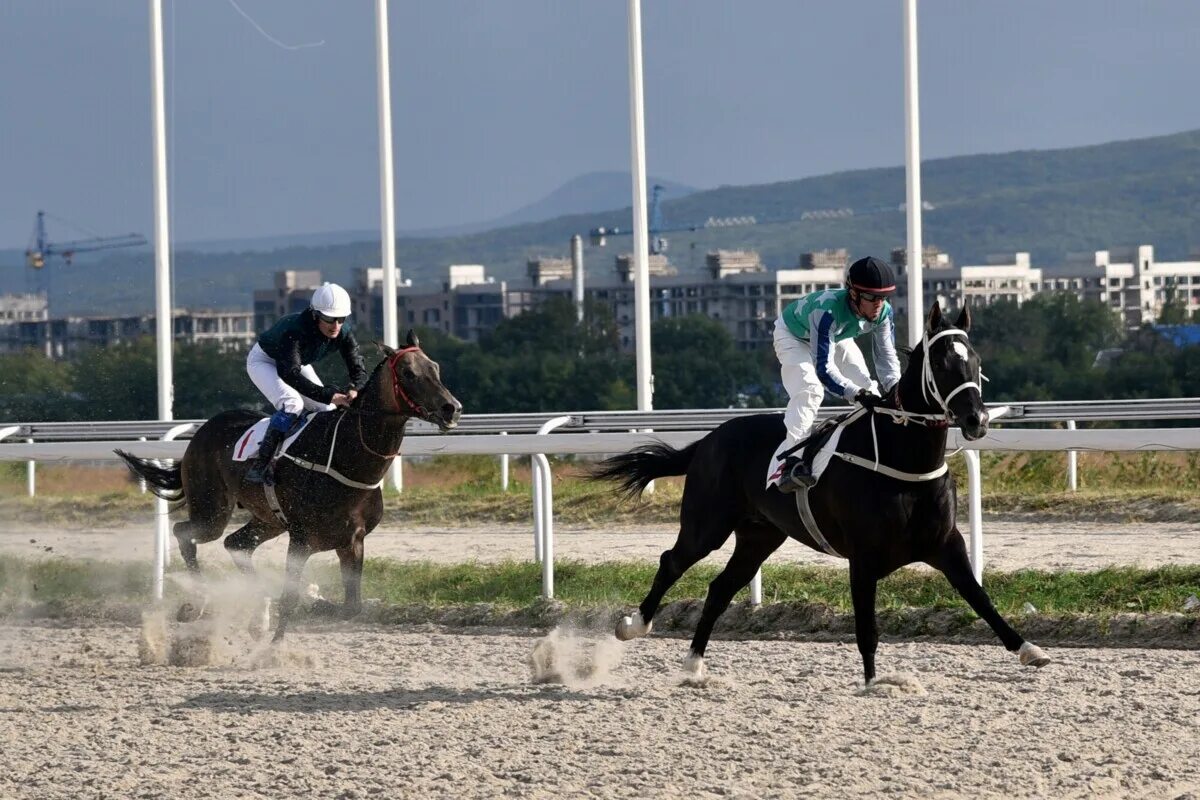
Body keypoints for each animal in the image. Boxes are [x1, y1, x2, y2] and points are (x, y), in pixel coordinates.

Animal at [117, 328, 460, 642]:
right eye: (408, 373)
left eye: (435, 367)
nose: (452, 408)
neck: (345, 455)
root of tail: (201, 432)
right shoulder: (301, 539)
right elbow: (291, 599)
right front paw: (274, 647)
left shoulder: (352, 540)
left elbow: (352, 607)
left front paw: (313, 602)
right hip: (211, 511)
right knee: (185, 533)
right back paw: (198, 602)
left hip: (268, 520)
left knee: (236, 544)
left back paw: (256, 607)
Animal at [595, 303, 1046, 686]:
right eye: (942, 362)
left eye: (976, 362)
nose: (977, 420)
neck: (904, 460)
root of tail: (707, 440)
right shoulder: (863, 557)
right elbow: (867, 626)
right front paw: (873, 683)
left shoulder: (945, 544)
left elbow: (980, 598)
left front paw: (1029, 649)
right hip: (707, 524)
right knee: (672, 562)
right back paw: (633, 625)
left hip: (760, 535)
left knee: (720, 588)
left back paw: (693, 664)